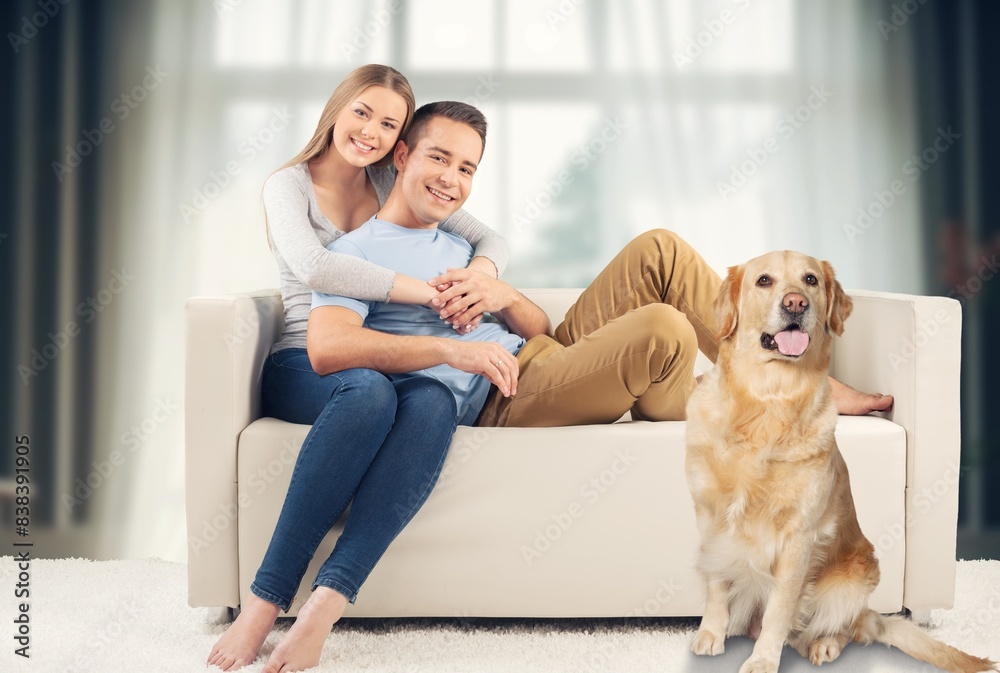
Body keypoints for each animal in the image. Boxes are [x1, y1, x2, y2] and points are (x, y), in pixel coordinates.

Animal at [684, 251, 996, 672]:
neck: (768, 403)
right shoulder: (710, 517)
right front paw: (711, 635)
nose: (795, 303)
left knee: (844, 627)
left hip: (855, 577)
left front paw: (763, 659)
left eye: (810, 280)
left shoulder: (798, 535)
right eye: (764, 280)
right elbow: (716, 582)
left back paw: (825, 643)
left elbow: (780, 608)